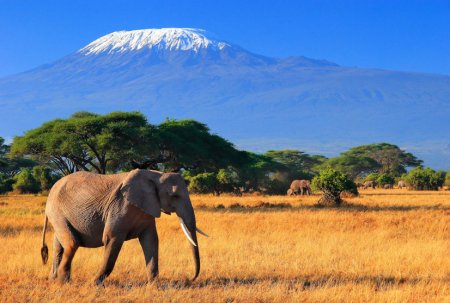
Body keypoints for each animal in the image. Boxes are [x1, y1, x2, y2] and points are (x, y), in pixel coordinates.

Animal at [40, 170, 207, 286]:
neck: (155, 175)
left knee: (58, 246)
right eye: (175, 196)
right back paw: (63, 282)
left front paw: (154, 286)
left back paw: (54, 279)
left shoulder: (147, 209)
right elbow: (112, 239)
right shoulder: (120, 206)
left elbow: (151, 241)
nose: (190, 278)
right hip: (57, 212)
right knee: (72, 243)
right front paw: (94, 284)